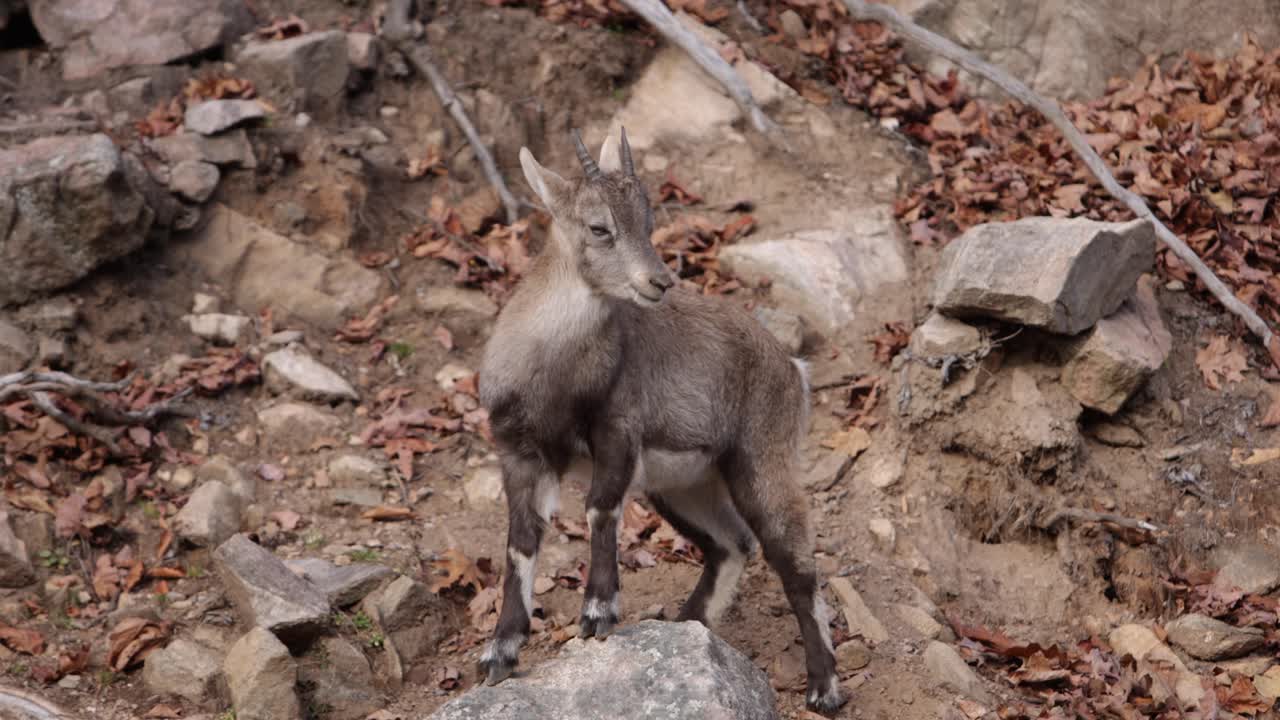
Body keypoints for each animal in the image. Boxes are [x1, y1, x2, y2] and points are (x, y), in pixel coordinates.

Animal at [476, 128, 845, 714]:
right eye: (599, 227)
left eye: (647, 222)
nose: (659, 281)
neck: (551, 372)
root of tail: (794, 370)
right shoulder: (520, 454)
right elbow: (520, 545)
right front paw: (501, 652)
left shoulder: (617, 433)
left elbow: (600, 509)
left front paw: (598, 611)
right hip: (681, 486)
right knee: (731, 543)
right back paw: (688, 624)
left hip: (760, 463)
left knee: (797, 565)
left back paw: (824, 687)